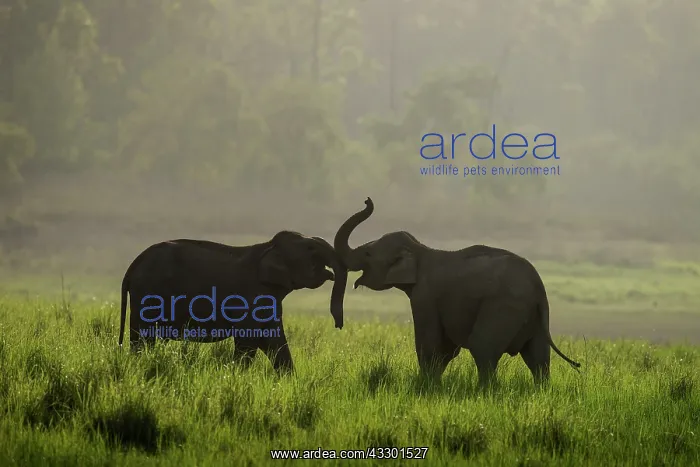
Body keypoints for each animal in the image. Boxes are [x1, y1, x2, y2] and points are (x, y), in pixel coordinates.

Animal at [118, 231, 347, 374]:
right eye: (310, 249)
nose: (338, 324)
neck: (268, 247)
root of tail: (132, 266)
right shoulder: (250, 298)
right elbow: (249, 342)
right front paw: (238, 376)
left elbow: (275, 341)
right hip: (147, 294)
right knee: (144, 336)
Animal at [333, 197, 580, 388]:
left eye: (367, 253)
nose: (367, 200)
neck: (420, 249)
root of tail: (539, 287)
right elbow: (445, 349)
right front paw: (432, 385)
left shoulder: (425, 296)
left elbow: (430, 343)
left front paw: (427, 386)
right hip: (535, 318)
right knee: (538, 357)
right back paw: (540, 390)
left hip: (503, 307)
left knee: (483, 347)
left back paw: (485, 391)